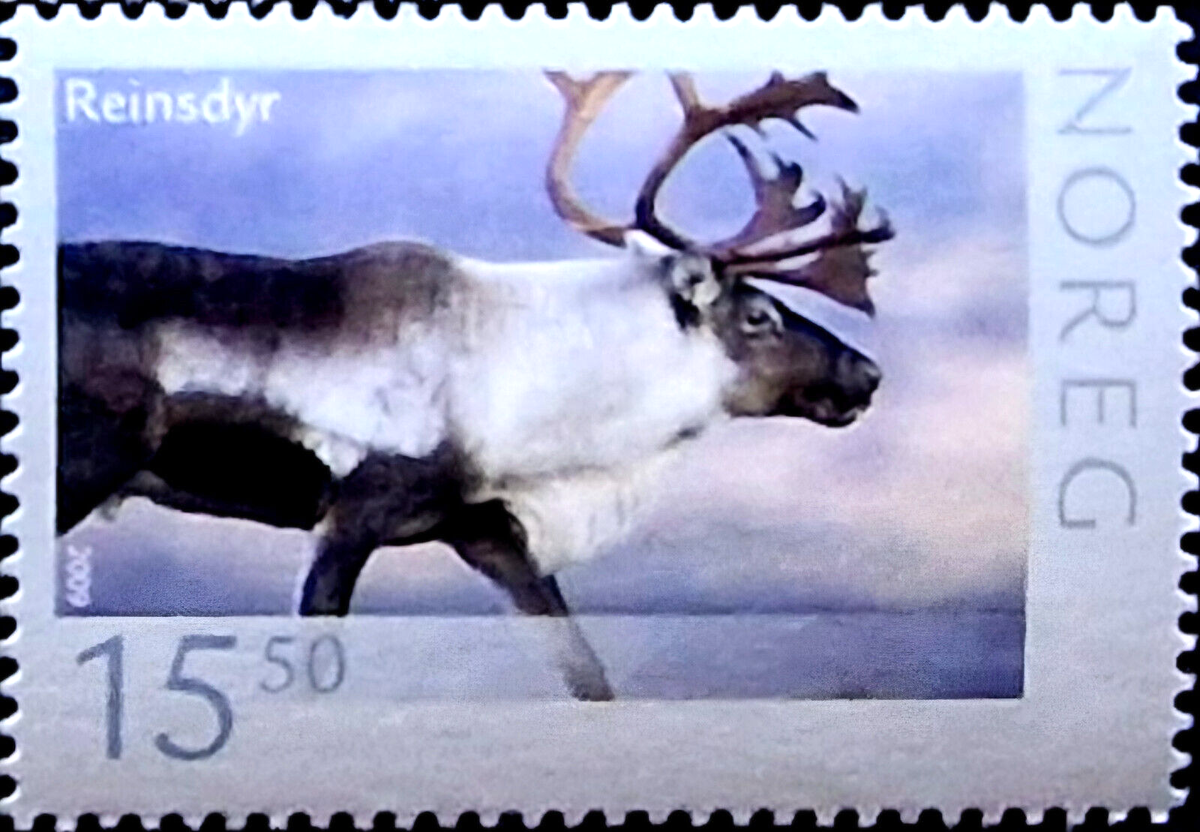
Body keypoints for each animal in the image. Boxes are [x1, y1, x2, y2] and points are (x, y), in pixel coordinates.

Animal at [57, 71, 893, 700]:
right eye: (759, 316)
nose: (868, 372)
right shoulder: (353, 512)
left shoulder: (484, 527)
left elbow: (586, 670)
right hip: (84, 465)